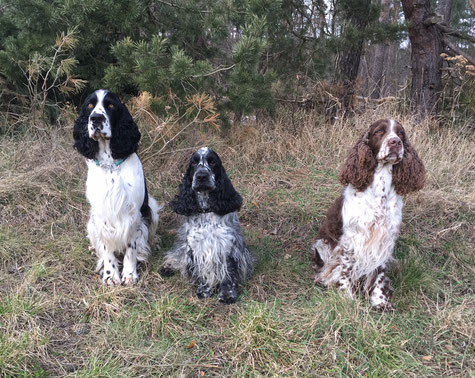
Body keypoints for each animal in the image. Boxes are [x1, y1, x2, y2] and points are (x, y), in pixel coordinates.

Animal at [73, 91, 161, 286]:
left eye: (111, 105)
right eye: (89, 105)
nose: (96, 118)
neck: (110, 165)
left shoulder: (133, 213)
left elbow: (131, 247)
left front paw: (129, 274)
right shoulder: (101, 213)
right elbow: (107, 248)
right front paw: (110, 275)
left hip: (152, 208)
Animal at [162, 148, 255, 304]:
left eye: (212, 162)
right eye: (194, 163)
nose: (201, 176)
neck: (207, 210)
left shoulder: (226, 244)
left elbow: (228, 273)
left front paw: (227, 294)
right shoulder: (195, 246)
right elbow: (201, 271)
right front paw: (204, 290)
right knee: (177, 255)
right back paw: (167, 268)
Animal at [314, 119, 426, 312]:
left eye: (401, 133)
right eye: (379, 132)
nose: (395, 142)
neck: (380, 189)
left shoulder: (384, 239)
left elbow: (379, 273)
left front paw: (380, 301)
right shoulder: (351, 239)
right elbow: (346, 270)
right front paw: (347, 298)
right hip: (322, 245)